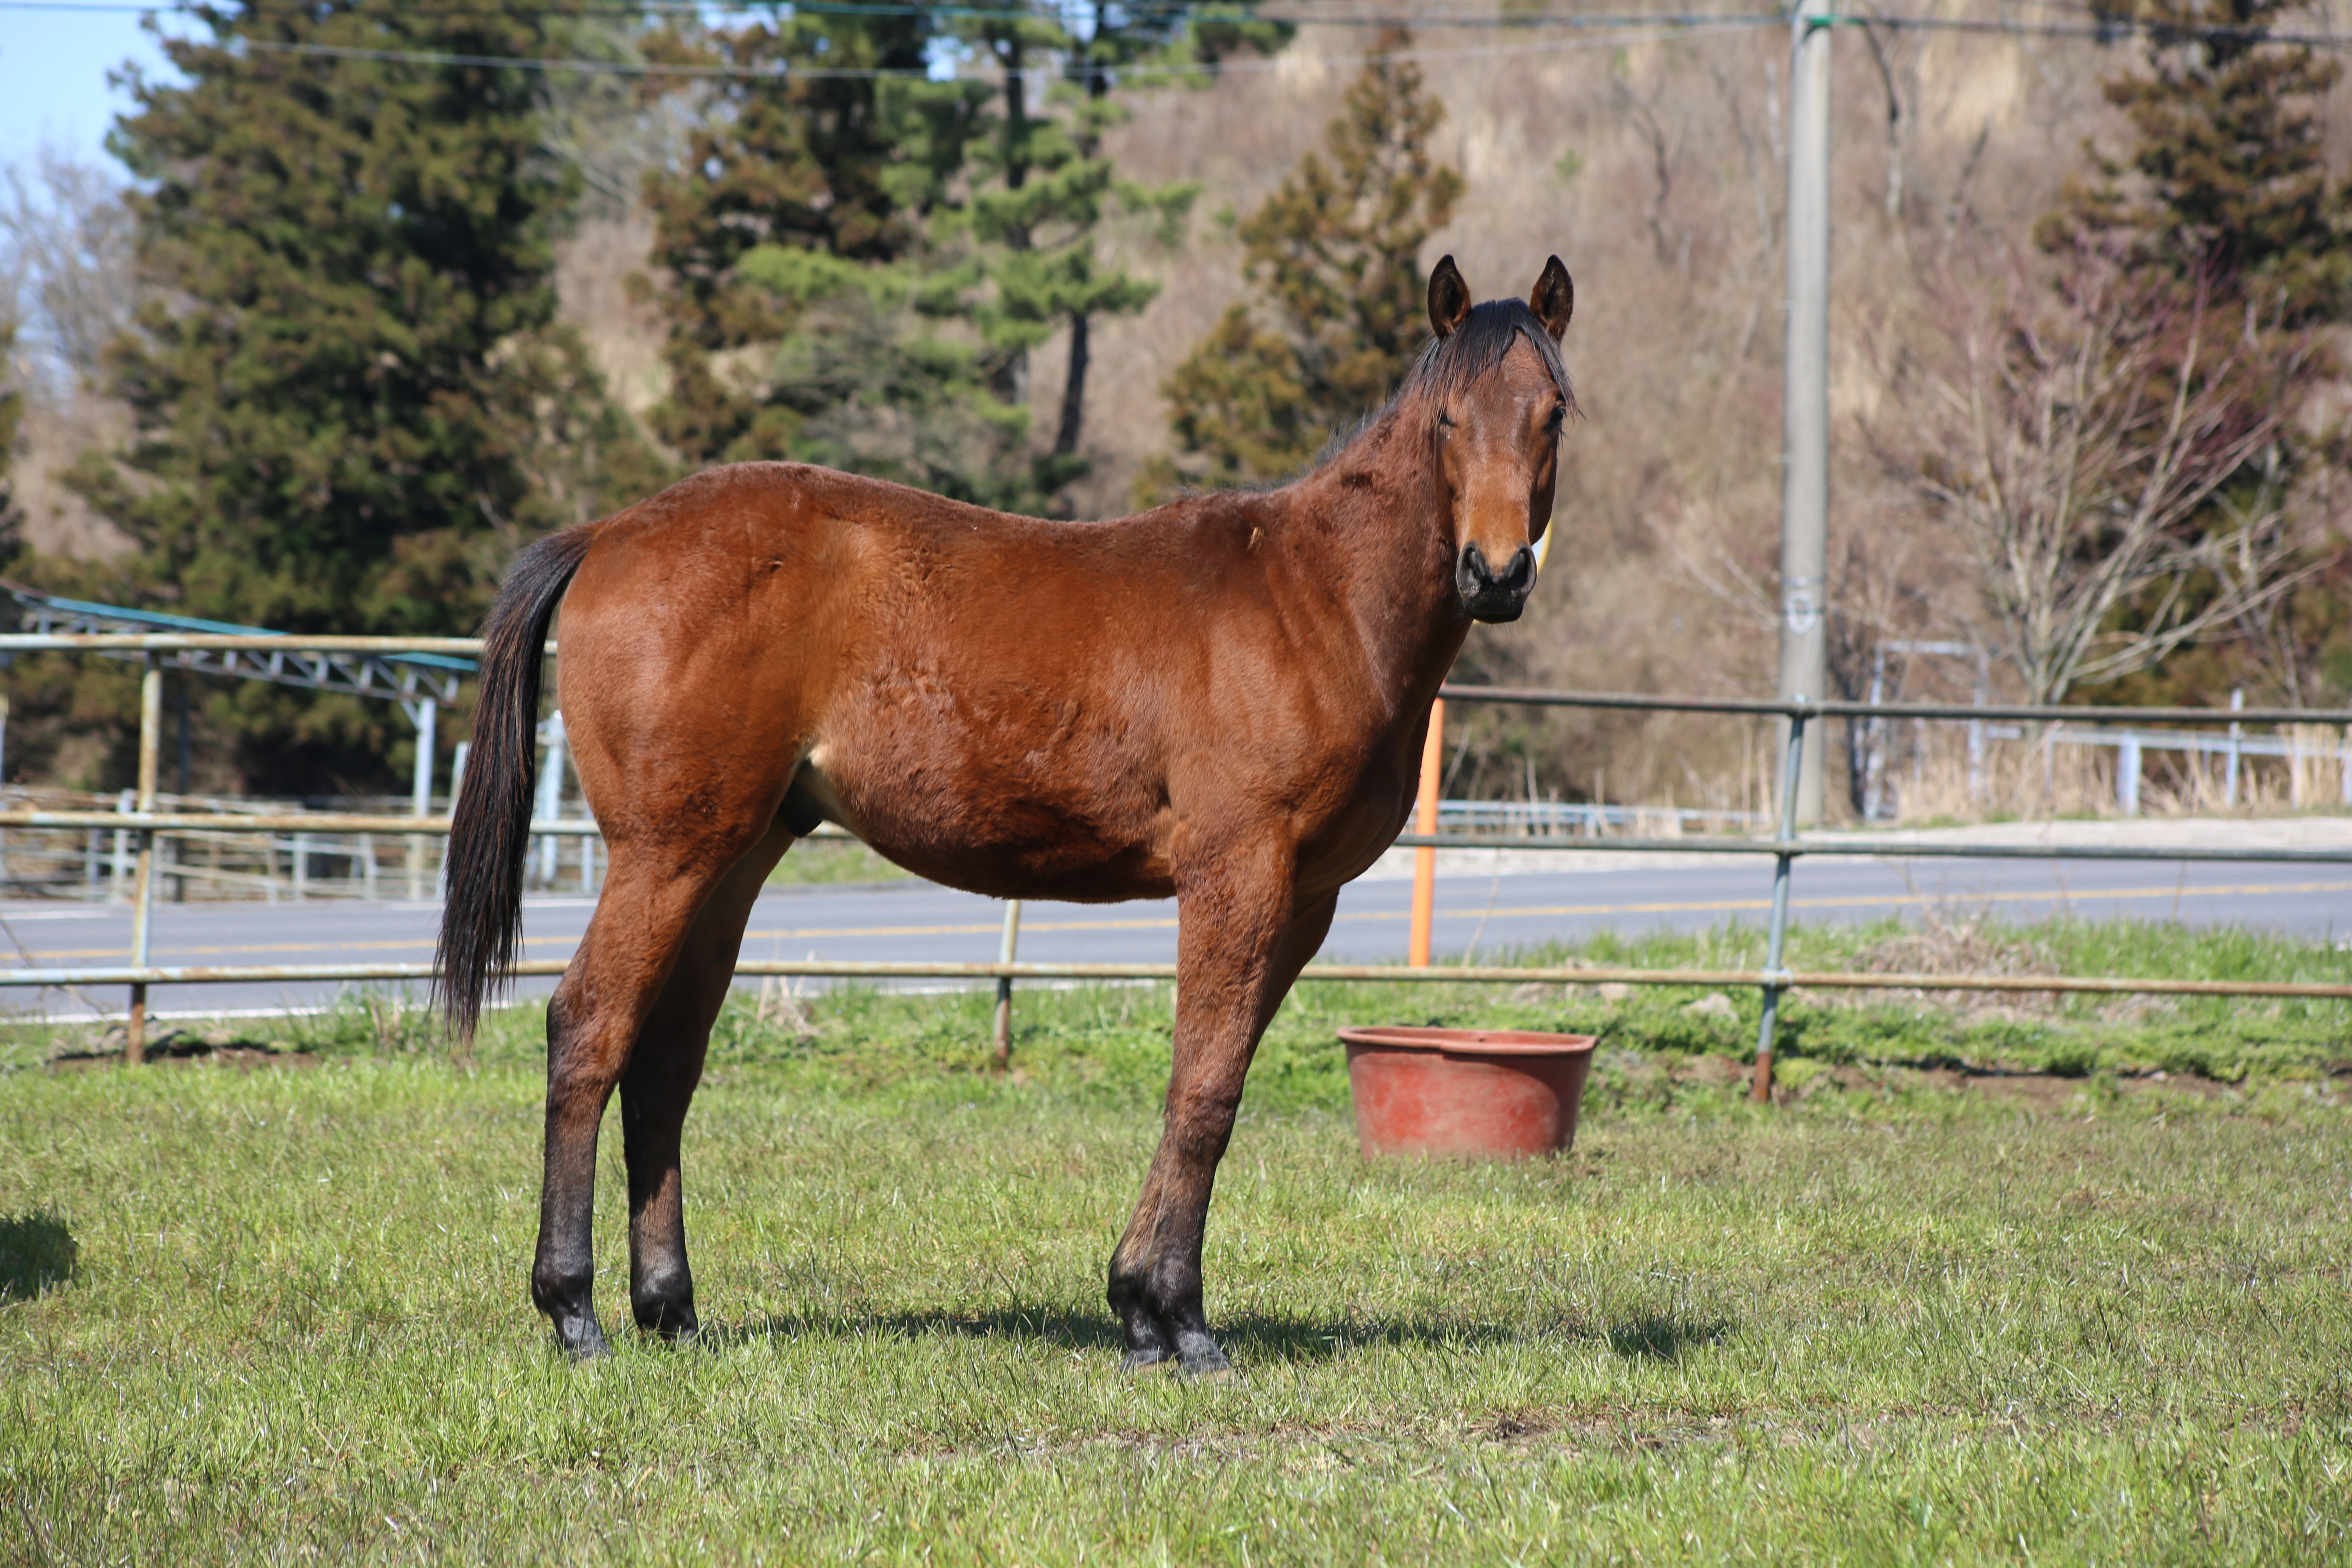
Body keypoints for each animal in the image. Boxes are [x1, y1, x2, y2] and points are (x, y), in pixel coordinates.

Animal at [442, 257, 1580, 1373]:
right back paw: (575, 1312)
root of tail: (608, 533)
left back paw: (671, 1311)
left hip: (731, 861)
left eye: (1553, 415)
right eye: (1447, 421)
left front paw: (1136, 1308)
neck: (1313, 598)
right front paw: (1182, 1321)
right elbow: (1204, 1088)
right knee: (588, 1029)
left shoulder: (1303, 903)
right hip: (664, 855)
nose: (1495, 574)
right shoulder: (1236, 874)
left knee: (665, 1063)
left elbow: (1209, 1078)